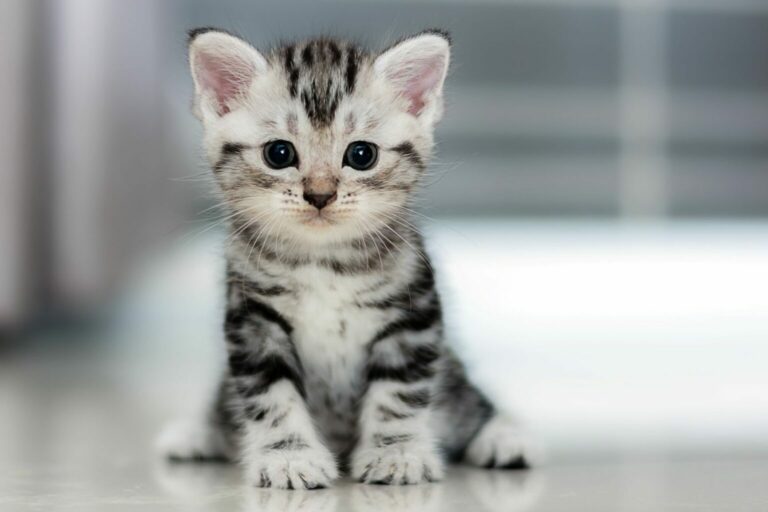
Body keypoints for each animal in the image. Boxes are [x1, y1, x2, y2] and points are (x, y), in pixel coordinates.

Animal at [159, 27, 532, 488]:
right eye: (279, 153)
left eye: (361, 155)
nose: (320, 195)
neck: (324, 262)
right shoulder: (253, 318)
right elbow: (271, 395)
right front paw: (290, 457)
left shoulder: (412, 314)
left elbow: (398, 394)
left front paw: (396, 453)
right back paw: (196, 434)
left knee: (467, 402)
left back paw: (503, 437)